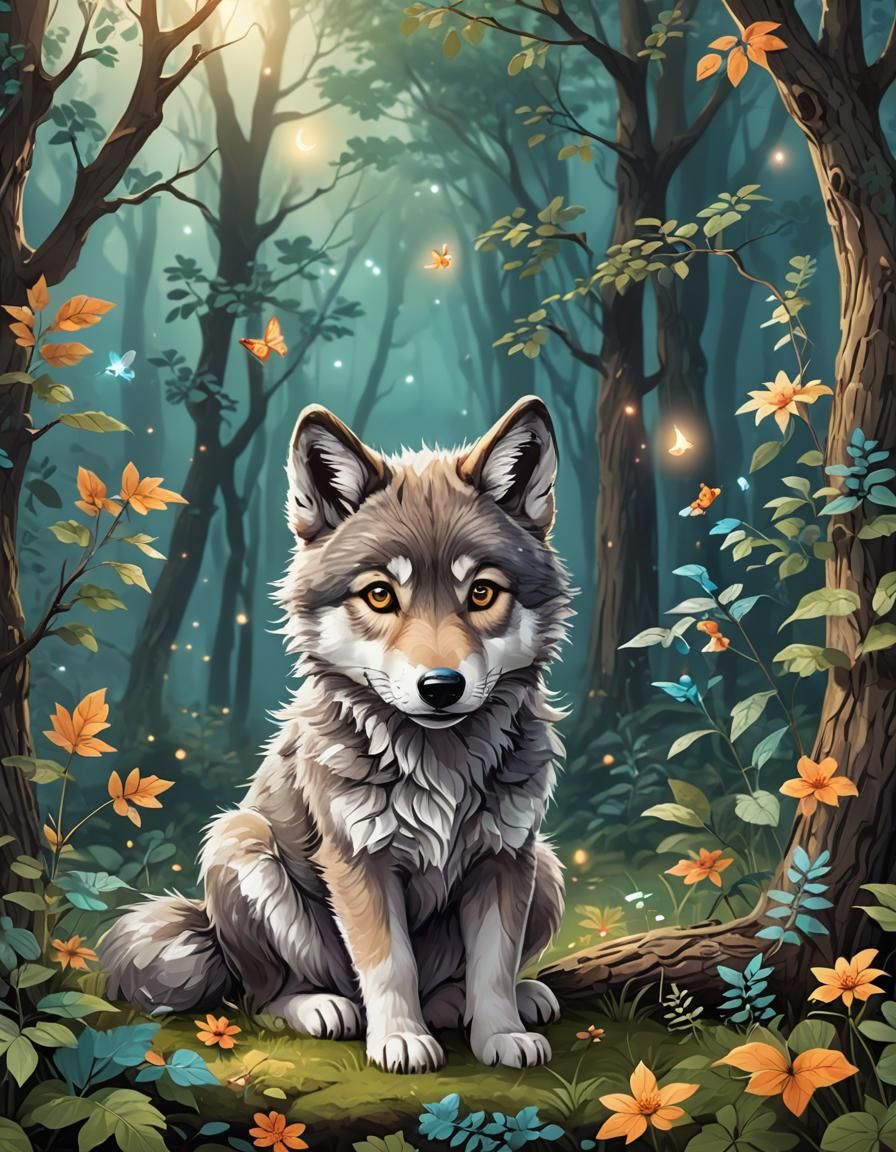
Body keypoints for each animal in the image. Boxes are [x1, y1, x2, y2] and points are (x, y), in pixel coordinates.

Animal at [100, 395, 573, 1073]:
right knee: (261, 996)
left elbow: (493, 965)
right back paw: (322, 1007)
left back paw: (489, 1000)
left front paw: (502, 1034)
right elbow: (389, 964)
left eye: (482, 592)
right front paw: (400, 1040)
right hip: (240, 842)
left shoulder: (508, 857)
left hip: (549, 868)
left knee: (459, 982)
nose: (441, 686)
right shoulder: (357, 861)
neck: (440, 760)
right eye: (379, 595)